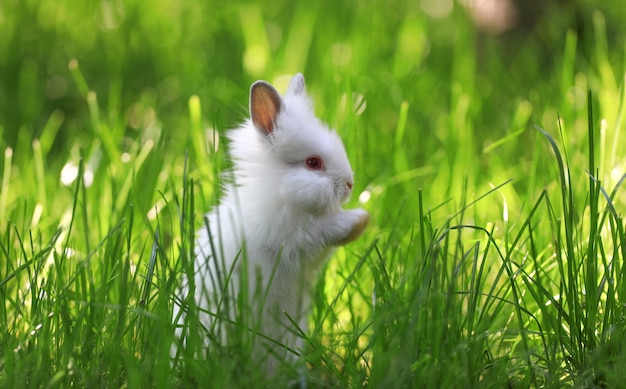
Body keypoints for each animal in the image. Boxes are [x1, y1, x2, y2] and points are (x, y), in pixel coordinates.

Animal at [173, 73, 368, 372]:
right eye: (313, 163)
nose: (349, 184)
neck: (281, 194)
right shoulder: (295, 239)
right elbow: (326, 230)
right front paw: (359, 219)